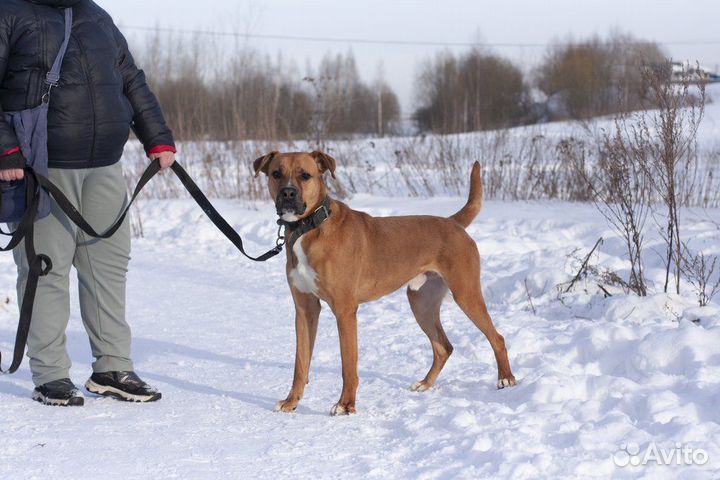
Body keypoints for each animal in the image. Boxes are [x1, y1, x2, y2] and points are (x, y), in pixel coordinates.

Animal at [256, 151, 516, 416]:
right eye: (276, 174)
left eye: (305, 175)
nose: (288, 193)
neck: (310, 227)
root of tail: (453, 222)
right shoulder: (305, 309)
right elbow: (300, 362)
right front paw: (292, 401)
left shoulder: (344, 311)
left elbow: (348, 365)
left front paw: (346, 404)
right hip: (421, 302)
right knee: (443, 347)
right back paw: (425, 384)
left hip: (466, 294)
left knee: (497, 338)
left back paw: (505, 378)